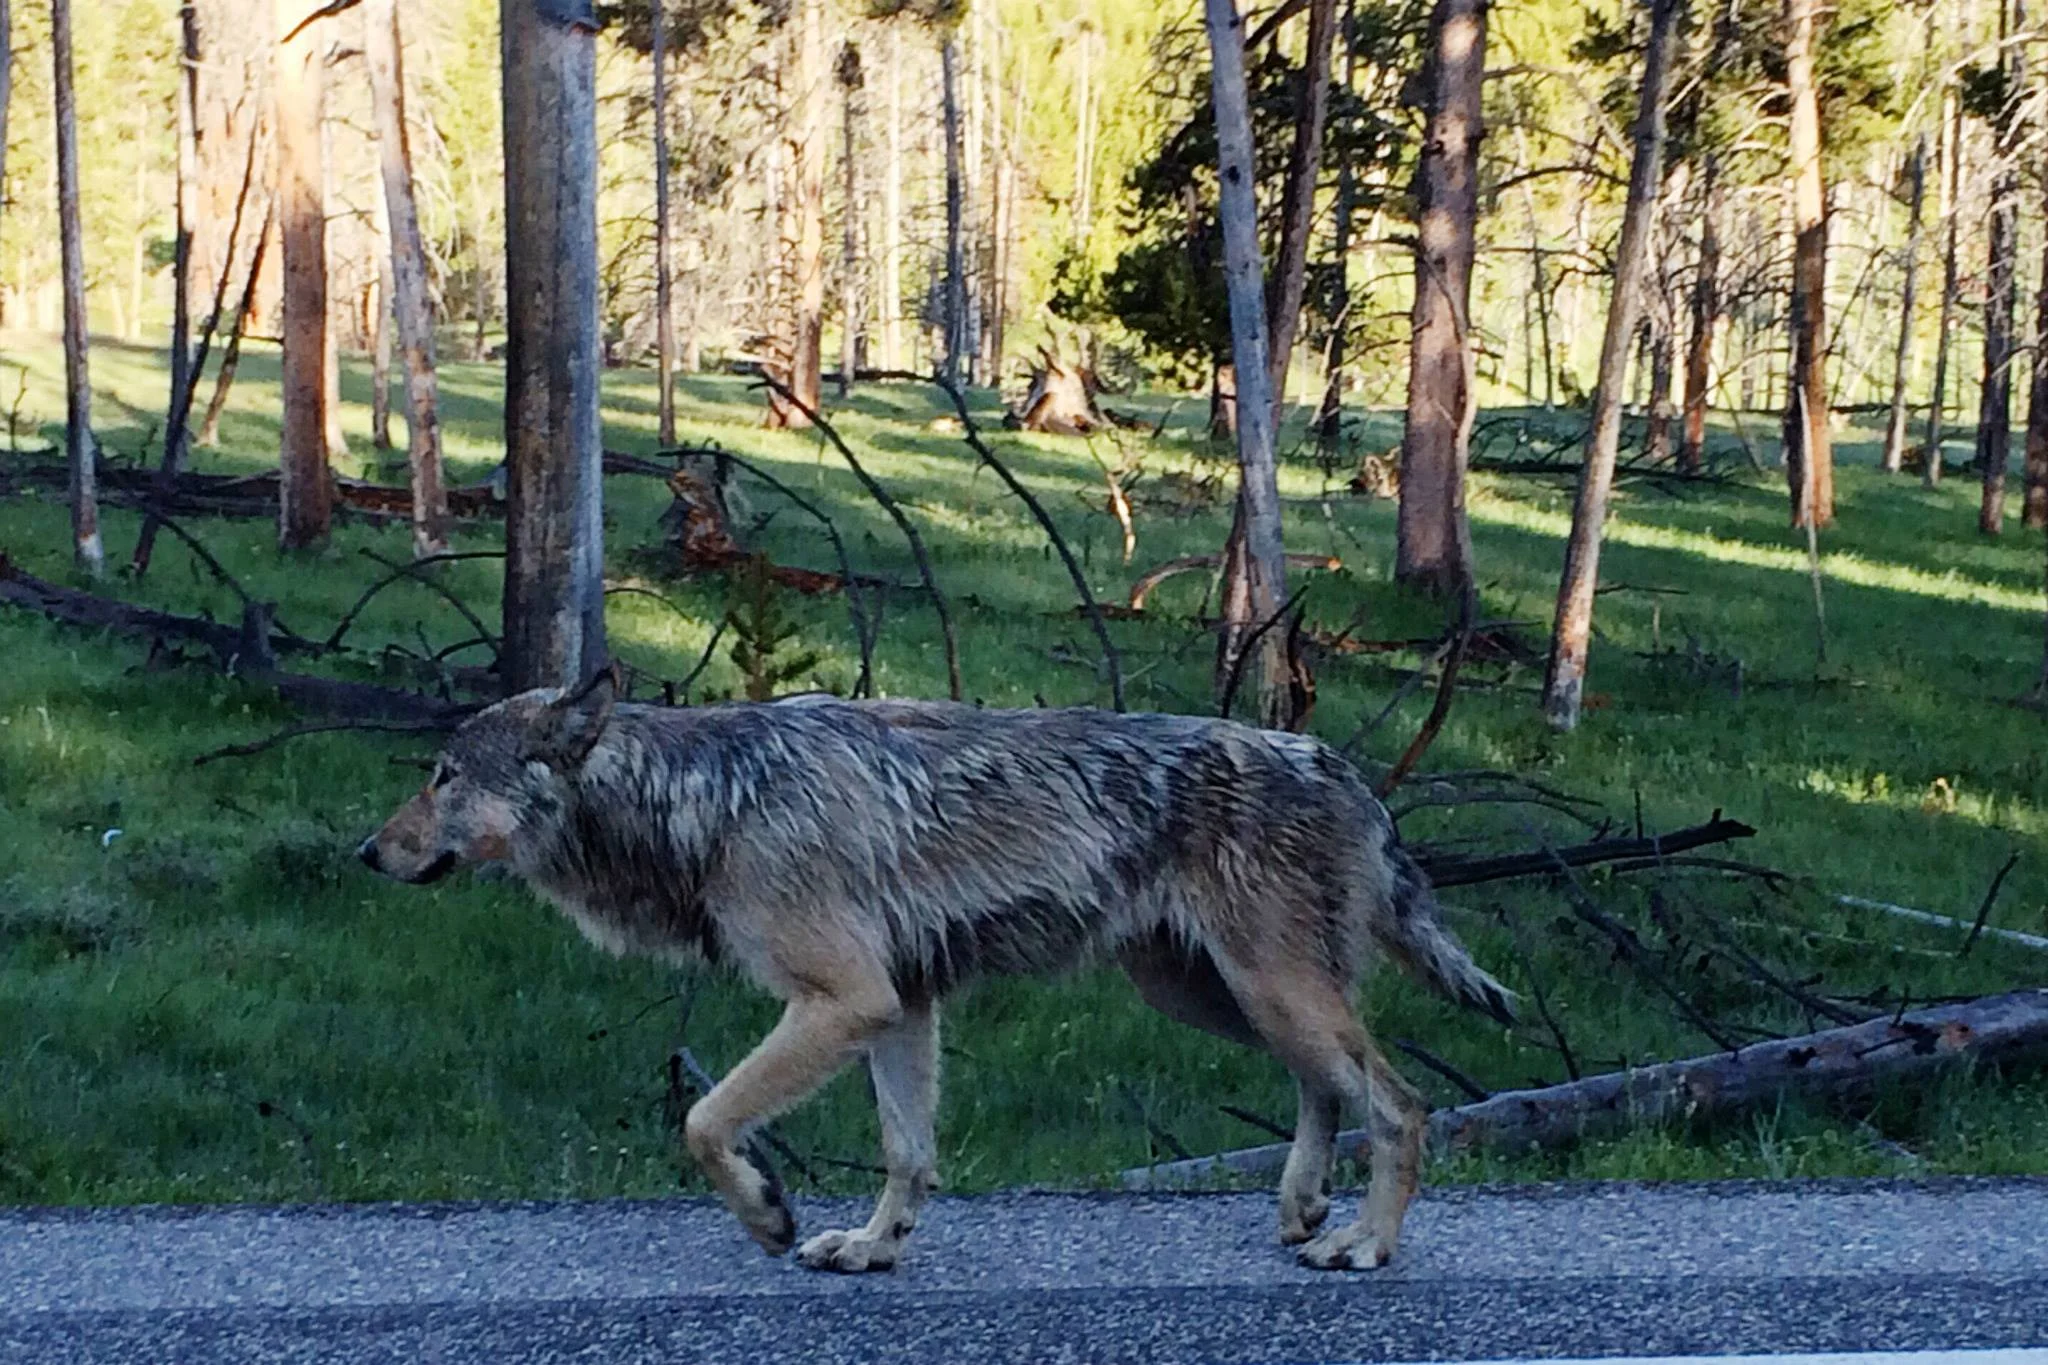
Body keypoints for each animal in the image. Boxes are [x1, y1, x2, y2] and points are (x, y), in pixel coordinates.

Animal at [358, 671, 1515, 1273]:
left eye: (442, 777)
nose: (366, 854)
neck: (706, 798)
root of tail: (1344, 769)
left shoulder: (843, 1002)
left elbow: (702, 1121)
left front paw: (768, 1214)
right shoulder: (899, 1008)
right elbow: (906, 1155)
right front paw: (873, 1247)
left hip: (1269, 994)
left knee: (1402, 1104)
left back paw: (1360, 1244)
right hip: (1215, 998)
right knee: (1328, 1088)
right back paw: (1301, 1208)